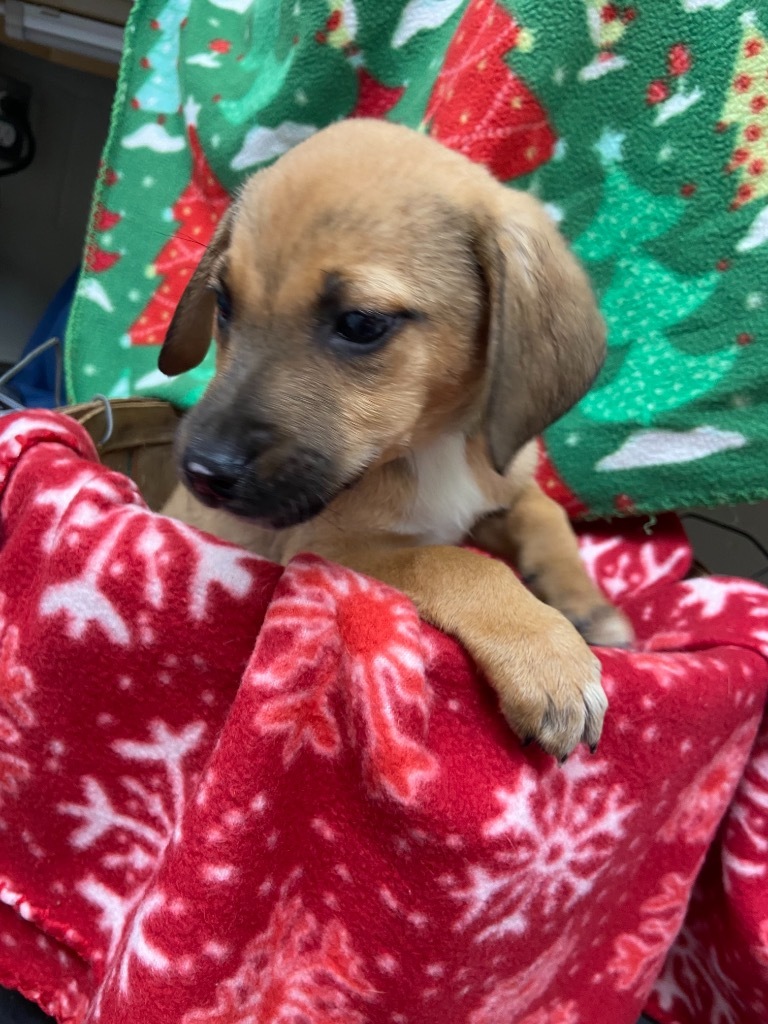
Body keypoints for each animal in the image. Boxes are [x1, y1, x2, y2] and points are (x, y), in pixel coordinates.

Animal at [157, 117, 630, 761]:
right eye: (224, 304)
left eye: (361, 323)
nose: (202, 472)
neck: (433, 445)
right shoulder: (327, 548)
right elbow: (456, 562)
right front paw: (547, 653)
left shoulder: (496, 491)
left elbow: (545, 511)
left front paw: (584, 604)